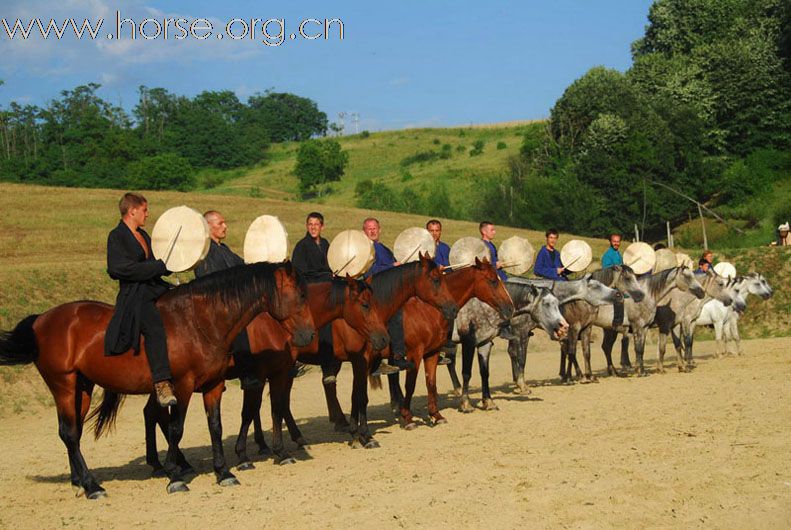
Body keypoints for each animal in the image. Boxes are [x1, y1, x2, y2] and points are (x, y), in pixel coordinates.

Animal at [0, 262, 316, 498]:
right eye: (300, 295)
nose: (309, 335)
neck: (199, 322)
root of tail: (42, 319)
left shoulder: (214, 385)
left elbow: (216, 426)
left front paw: (223, 472)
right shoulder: (184, 386)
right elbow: (176, 428)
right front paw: (175, 477)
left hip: (82, 388)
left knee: (72, 432)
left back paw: (80, 481)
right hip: (63, 386)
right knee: (70, 433)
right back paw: (93, 485)